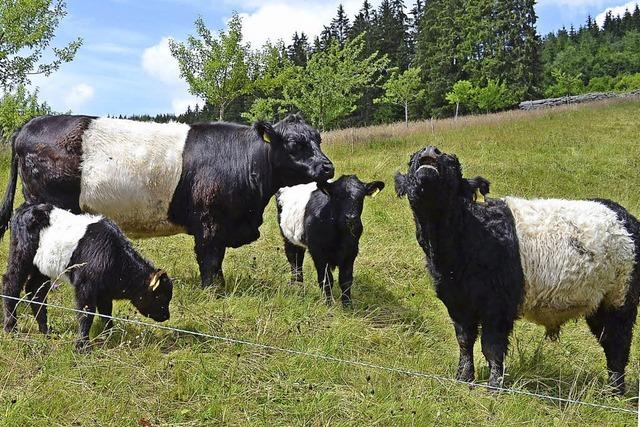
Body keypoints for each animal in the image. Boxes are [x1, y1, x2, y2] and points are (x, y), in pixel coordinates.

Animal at [1, 113, 336, 290]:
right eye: (294, 143)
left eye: (318, 139)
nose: (327, 167)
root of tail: (28, 126)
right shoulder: (210, 222)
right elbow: (210, 259)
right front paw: (213, 291)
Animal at [2, 204, 174, 352]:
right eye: (160, 296)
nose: (167, 316)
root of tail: (25, 208)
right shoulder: (85, 286)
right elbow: (86, 314)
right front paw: (82, 346)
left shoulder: (104, 292)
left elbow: (105, 313)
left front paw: (109, 335)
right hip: (21, 255)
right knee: (10, 284)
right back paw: (11, 328)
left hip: (42, 267)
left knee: (35, 291)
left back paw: (46, 331)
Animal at [276, 177, 384, 308]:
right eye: (337, 197)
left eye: (361, 197)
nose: (351, 217)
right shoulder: (318, 252)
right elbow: (326, 280)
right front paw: (328, 304)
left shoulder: (351, 251)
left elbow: (346, 280)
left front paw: (347, 305)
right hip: (287, 237)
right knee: (294, 260)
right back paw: (297, 286)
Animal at [396, 146, 640, 394]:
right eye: (412, 159)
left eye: (453, 162)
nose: (431, 150)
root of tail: (623, 214)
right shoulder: (457, 302)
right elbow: (464, 341)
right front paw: (463, 379)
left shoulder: (497, 305)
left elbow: (492, 346)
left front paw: (494, 387)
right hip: (599, 302)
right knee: (608, 338)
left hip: (620, 297)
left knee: (618, 343)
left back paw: (615, 392)